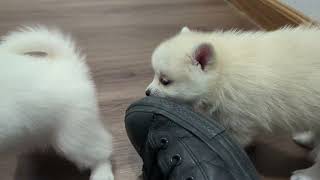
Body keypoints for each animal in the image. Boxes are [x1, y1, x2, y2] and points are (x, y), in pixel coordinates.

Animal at [147, 26, 320, 179]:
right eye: (155, 75)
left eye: (165, 81)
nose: (147, 92)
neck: (222, 73)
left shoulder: (240, 119)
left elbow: (234, 139)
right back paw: (307, 139)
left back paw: (307, 174)